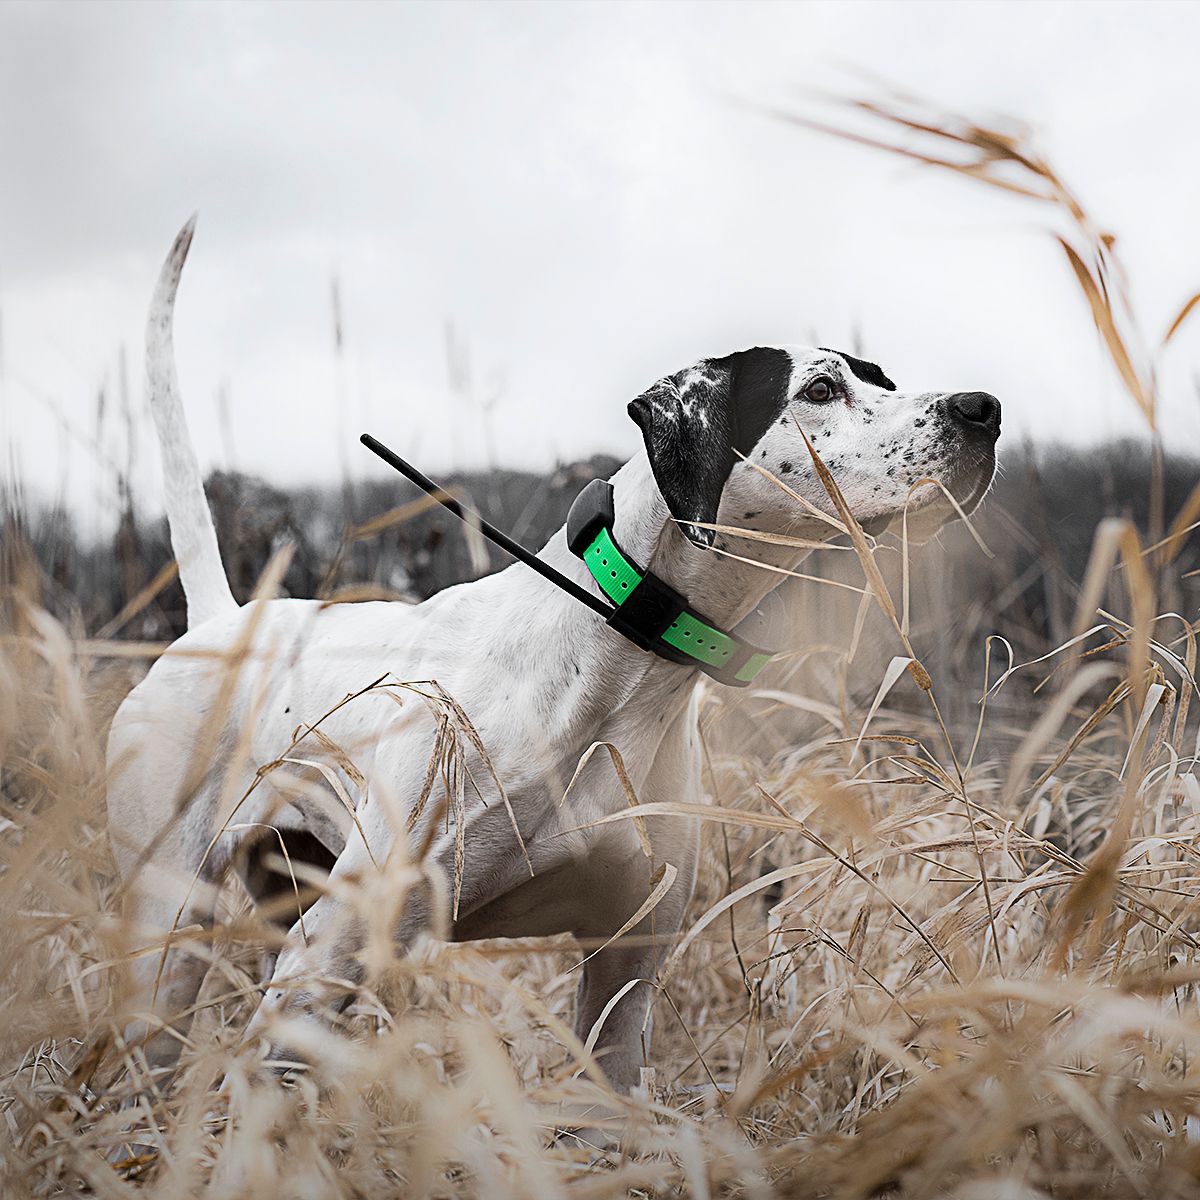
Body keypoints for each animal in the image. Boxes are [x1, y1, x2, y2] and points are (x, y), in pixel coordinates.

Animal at [108, 223, 998, 1099]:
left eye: (884, 379)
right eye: (818, 389)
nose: (983, 408)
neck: (618, 664)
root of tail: (221, 621)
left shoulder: (624, 976)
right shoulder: (325, 957)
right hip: (169, 937)